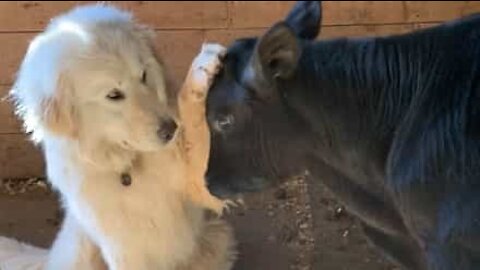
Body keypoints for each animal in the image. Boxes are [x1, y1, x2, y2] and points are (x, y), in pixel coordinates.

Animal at [1, 3, 234, 270]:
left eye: (144, 75)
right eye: (113, 95)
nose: (170, 130)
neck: (127, 167)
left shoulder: (194, 177)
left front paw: (203, 69)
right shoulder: (123, 248)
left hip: (216, 238)